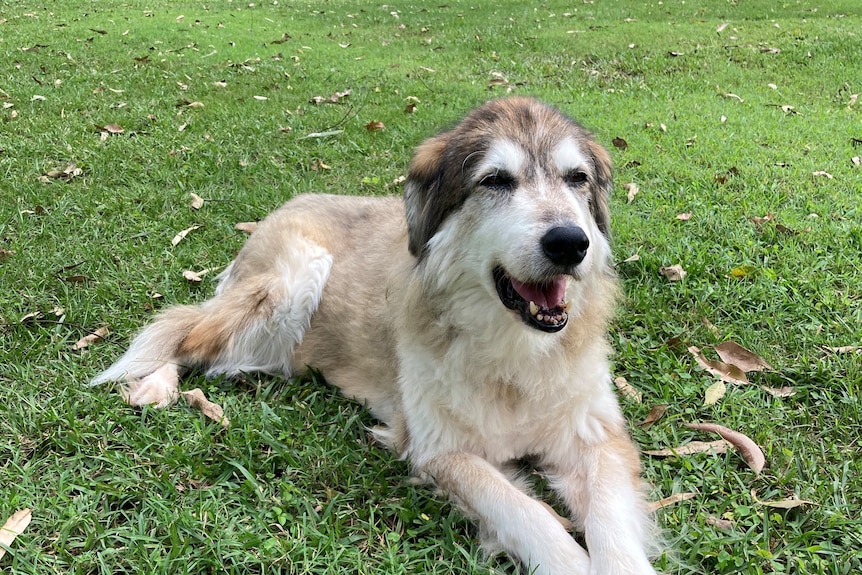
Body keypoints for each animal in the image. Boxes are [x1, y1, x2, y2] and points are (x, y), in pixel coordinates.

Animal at [93, 99, 660, 575]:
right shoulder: (439, 450)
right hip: (292, 282)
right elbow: (526, 512)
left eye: (576, 178)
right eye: (495, 180)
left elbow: (609, 523)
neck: (518, 353)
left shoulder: (598, 435)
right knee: (190, 335)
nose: (570, 243)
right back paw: (157, 383)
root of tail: (283, 206)